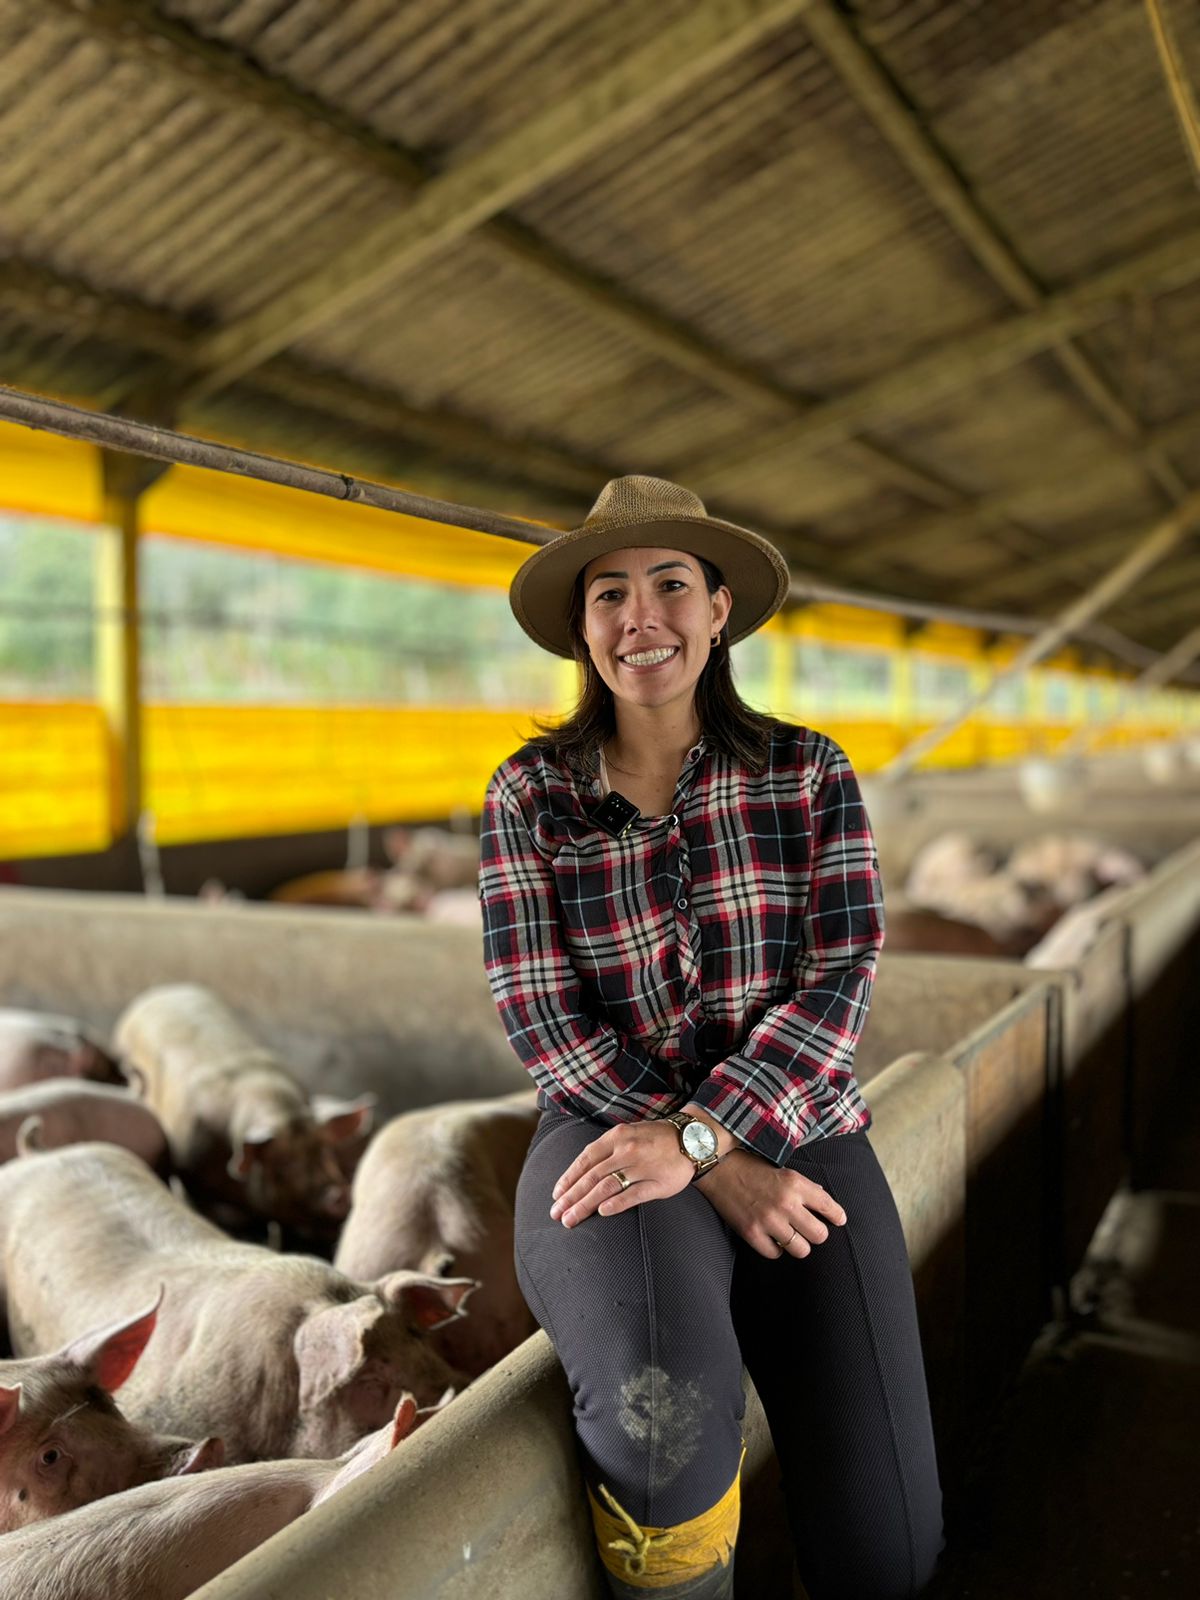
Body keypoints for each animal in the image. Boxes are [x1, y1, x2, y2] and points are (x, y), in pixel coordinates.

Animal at [113, 979, 376, 1228]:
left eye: (326, 1151)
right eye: (284, 1165)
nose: (340, 1194)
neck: (282, 1114)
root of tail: (162, 991)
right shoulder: (191, 1172)